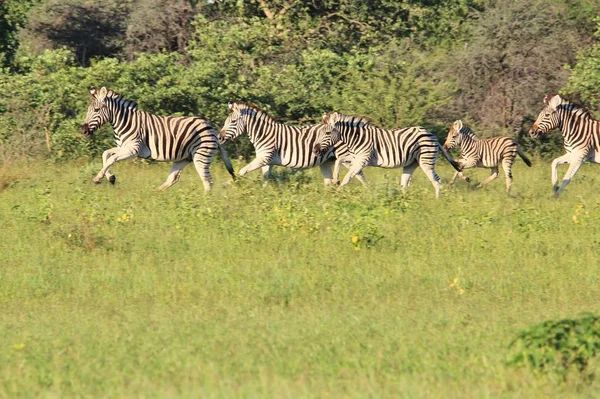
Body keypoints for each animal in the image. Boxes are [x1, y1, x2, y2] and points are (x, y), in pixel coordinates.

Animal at [81, 86, 236, 192]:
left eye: (96, 110)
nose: (83, 130)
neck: (124, 122)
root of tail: (211, 129)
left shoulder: (133, 149)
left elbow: (111, 159)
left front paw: (98, 178)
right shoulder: (123, 147)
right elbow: (105, 154)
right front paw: (111, 177)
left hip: (201, 156)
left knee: (208, 181)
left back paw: (205, 203)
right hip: (184, 158)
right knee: (173, 178)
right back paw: (155, 193)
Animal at [216, 101, 366, 186]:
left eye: (233, 122)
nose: (219, 137)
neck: (264, 134)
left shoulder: (264, 158)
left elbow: (242, 171)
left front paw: (229, 183)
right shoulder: (267, 161)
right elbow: (265, 179)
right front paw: (263, 197)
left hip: (347, 158)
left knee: (359, 174)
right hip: (327, 161)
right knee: (329, 182)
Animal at [312, 111, 462, 198]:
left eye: (327, 133)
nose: (315, 150)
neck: (356, 138)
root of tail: (432, 135)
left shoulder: (363, 159)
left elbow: (348, 177)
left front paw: (337, 193)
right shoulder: (356, 157)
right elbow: (339, 161)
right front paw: (335, 179)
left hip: (426, 161)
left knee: (436, 182)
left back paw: (436, 203)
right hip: (412, 163)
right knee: (405, 184)